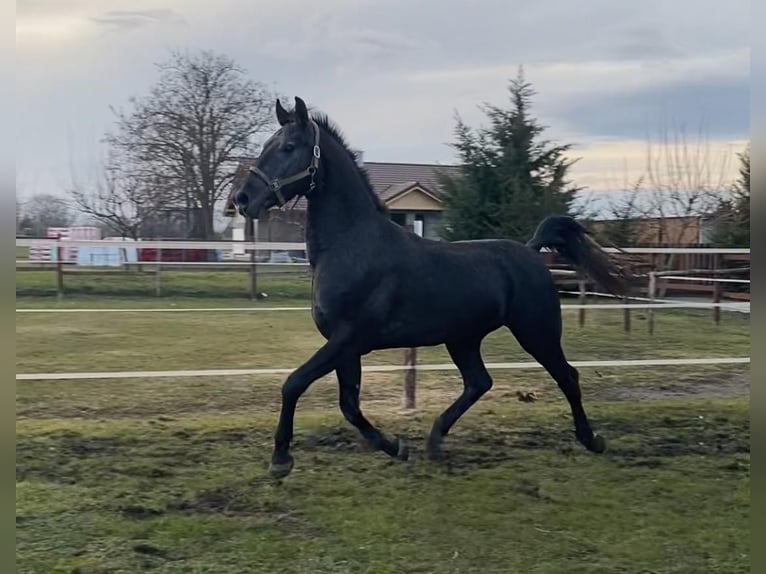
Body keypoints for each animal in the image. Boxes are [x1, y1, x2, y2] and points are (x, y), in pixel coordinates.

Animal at [236, 97, 632, 480]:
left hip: (537, 332)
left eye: (288, 147)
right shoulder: (345, 346)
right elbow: (349, 405)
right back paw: (435, 442)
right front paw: (396, 447)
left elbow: (294, 383)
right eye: (266, 144)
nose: (242, 199)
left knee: (567, 376)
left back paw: (592, 440)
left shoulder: (348, 338)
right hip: (463, 338)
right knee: (479, 382)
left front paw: (280, 459)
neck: (352, 245)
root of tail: (532, 252)